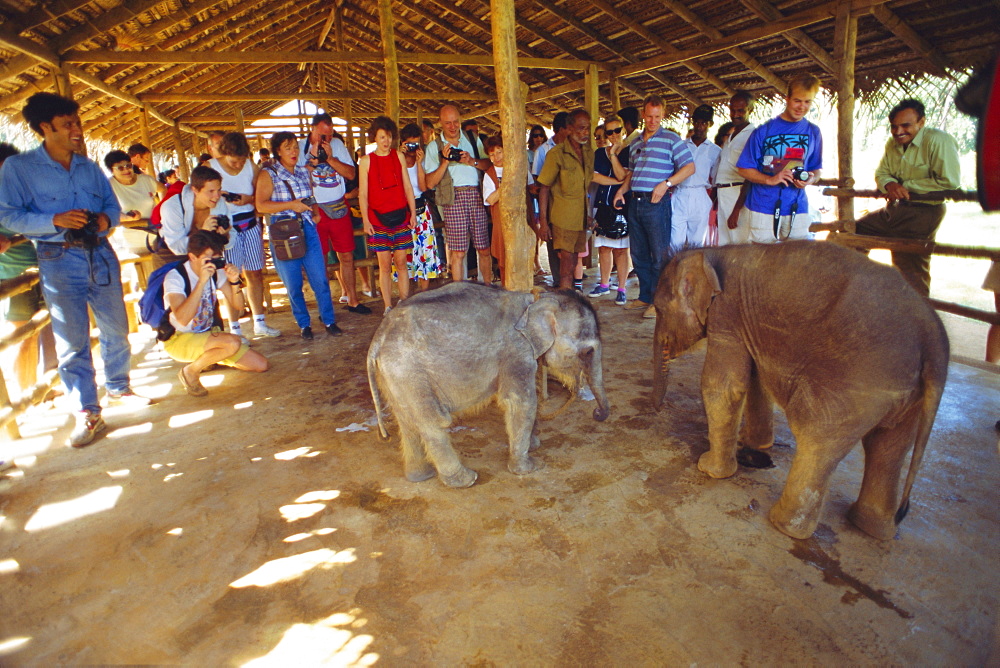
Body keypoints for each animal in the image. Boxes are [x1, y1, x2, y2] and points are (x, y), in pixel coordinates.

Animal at [364, 280, 604, 488]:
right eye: (588, 351)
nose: (597, 414)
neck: (538, 299)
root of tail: (377, 341)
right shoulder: (516, 351)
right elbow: (521, 401)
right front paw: (529, 467)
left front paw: (533, 445)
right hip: (408, 371)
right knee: (432, 421)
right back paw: (465, 480)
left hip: (394, 376)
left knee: (406, 420)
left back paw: (420, 476)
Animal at [652, 243, 948, 540]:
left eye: (658, 309)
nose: (656, 409)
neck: (710, 252)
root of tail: (933, 338)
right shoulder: (748, 324)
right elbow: (756, 377)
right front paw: (753, 443)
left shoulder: (728, 312)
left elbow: (724, 385)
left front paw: (708, 469)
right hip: (907, 393)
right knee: (889, 447)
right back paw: (872, 528)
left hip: (859, 380)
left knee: (817, 435)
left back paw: (784, 526)